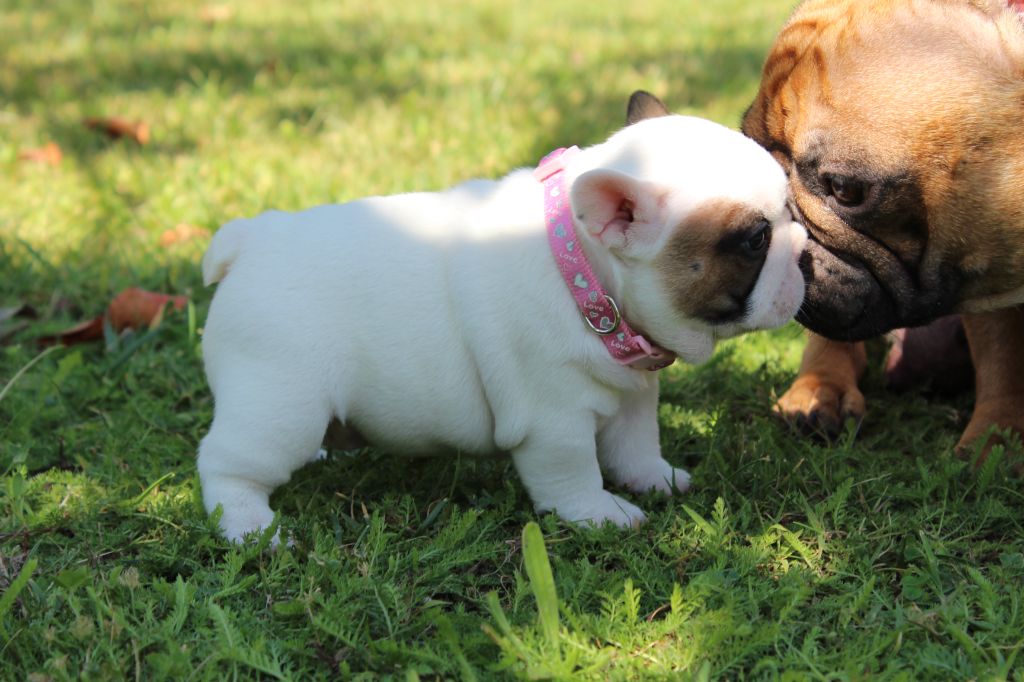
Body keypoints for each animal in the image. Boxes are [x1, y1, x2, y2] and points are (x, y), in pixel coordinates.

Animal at [197, 90, 806, 540]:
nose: (802, 247)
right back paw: (250, 527)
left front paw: (656, 480)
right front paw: (599, 514)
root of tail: (251, 240)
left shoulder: (632, 393)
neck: (584, 273)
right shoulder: (554, 417)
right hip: (281, 403)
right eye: (753, 241)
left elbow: (636, 444)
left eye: (790, 210)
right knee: (227, 463)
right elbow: (572, 471)